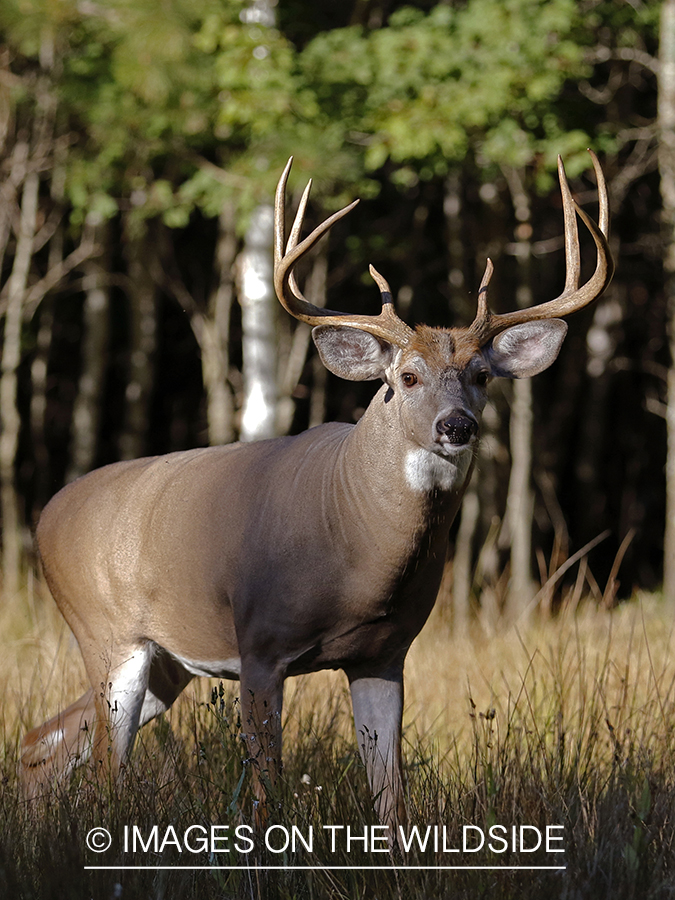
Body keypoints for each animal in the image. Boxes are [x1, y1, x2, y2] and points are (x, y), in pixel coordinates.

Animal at [21, 151, 612, 832]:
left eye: (483, 375)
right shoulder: (259, 642)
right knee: (103, 766)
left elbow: (391, 796)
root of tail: (46, 515)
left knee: (46, 743)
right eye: (406, 377)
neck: (357, 555)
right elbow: (264, 792)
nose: (456, 425)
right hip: (107, 632)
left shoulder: (385, 653)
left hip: (165, 662)